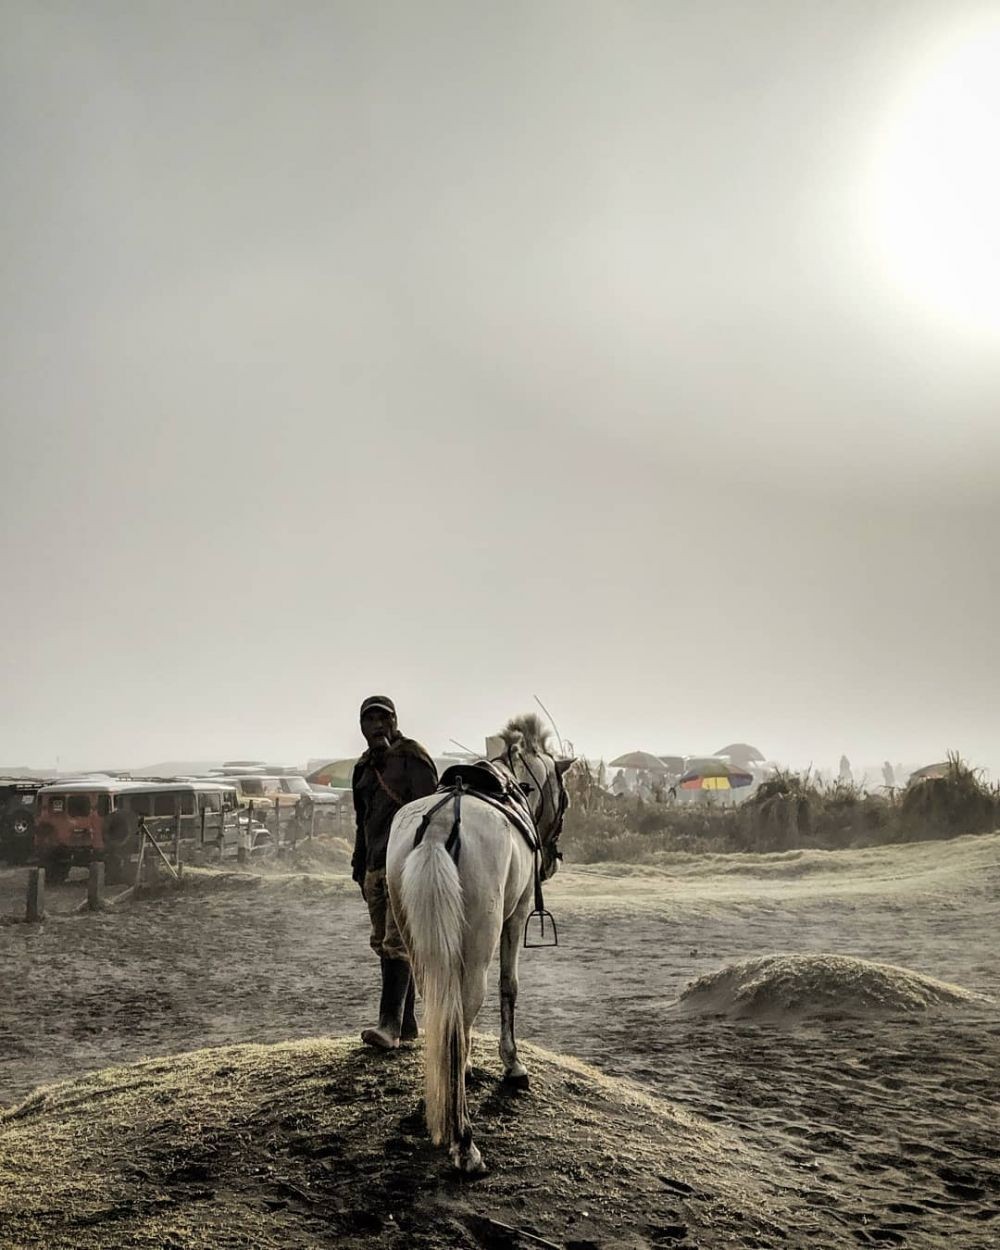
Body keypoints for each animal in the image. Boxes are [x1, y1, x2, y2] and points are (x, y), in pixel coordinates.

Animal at [382, 715, 570, 1170]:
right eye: (566, 799)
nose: (554, 857)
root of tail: (438, 827)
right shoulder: (515, 917)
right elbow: (509, 988)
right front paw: (512, 1065)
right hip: (479, 945)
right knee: (461, 1014)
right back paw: (464, 1141)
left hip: (421, 943)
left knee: (441, 1012)